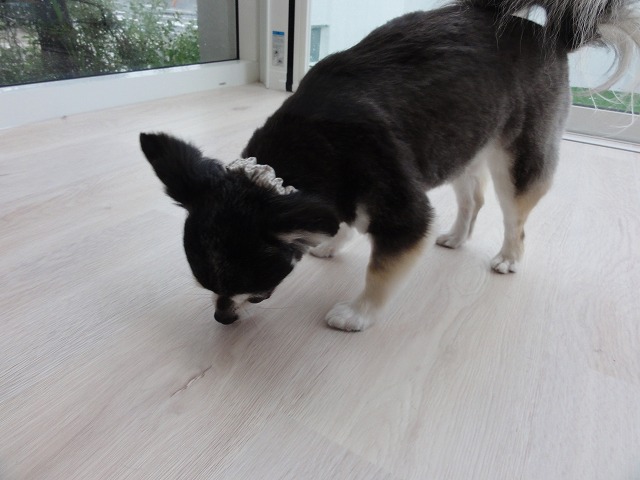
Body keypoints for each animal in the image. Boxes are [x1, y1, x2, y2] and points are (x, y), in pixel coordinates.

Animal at [140, 0, 640, 331]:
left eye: (256, 287)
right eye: (210, 288)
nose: (222, 316)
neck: (310, 145)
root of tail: (550, 35)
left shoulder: (402, 209)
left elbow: (381, 269)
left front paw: (356, 313)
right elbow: (340, 221)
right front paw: (332, 241)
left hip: (518, 157)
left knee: (515, 216)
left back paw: (508, 258)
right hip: (462, 140)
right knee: (474, 198)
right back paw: (457, 237)